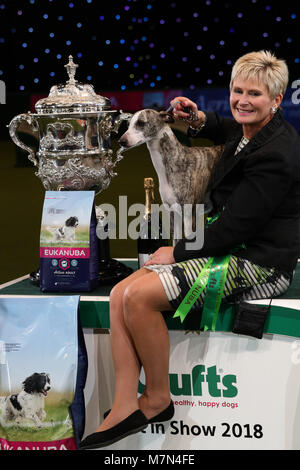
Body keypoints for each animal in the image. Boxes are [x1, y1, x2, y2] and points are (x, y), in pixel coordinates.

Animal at [118, 109, 224, 242]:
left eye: (141, 123)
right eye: (128, 125)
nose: (121, 141)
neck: (176, 160)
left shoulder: (188, 216)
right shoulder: (173, 213)